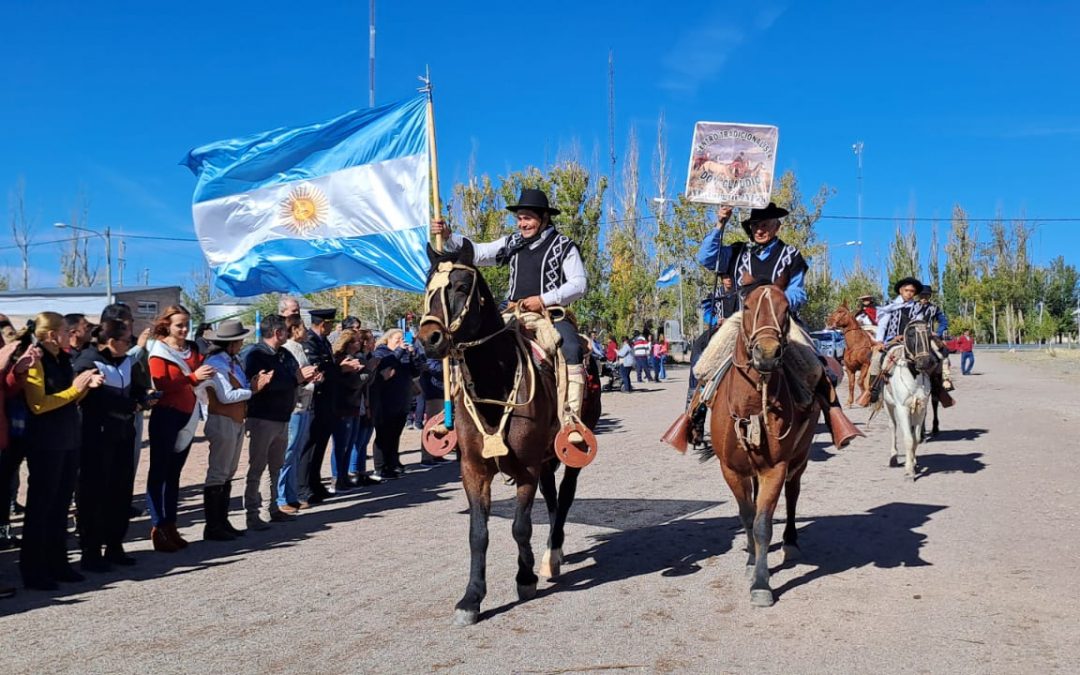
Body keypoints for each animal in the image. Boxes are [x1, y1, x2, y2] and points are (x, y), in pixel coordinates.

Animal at [414, 241, 604, 626]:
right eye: (427, 288)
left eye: (460, 286)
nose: (429, 339)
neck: (495, 382)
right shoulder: (473, 469)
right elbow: (478, 533)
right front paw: (471, 598)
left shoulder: (526, 468)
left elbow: (520, 526)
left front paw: (526, 577)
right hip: (545, 459)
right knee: (552, 498)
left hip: (569, 452)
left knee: (565, 498)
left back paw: (552, 554)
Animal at [699, 280, 816, 609]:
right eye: (748, 305)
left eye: (786, 308)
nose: (767, 353)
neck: (751, 405)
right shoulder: (731, 470)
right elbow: (747, 516)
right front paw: (752, 561)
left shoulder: (775, 469)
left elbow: (763, 523)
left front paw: (762, 583)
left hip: (800, 458)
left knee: (793, 494)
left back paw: (791, 541)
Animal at [881, 345, 933, 481]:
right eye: (911, 339)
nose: (925, 362)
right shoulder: (902, 409)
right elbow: (909, 439)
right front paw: (909, 471)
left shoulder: (921, 409)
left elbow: (916, 439)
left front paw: (913, 463)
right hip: (888, 405)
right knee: (893, 426)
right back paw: (893, 457)